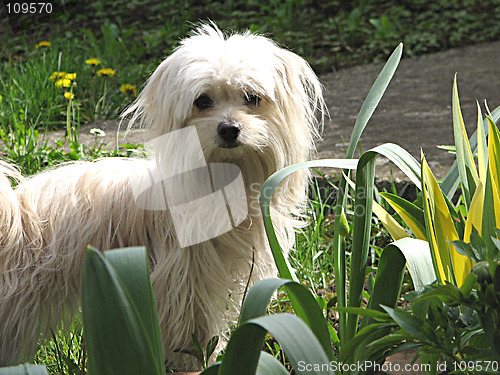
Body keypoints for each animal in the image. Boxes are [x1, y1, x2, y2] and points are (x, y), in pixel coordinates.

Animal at [0, 24, 324, 370]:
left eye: (252, 98)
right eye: (202, 101)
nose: (229, 128)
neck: (223, 181)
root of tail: (13, 211)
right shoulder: (183, 282)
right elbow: (189, 330)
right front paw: (195, 364)